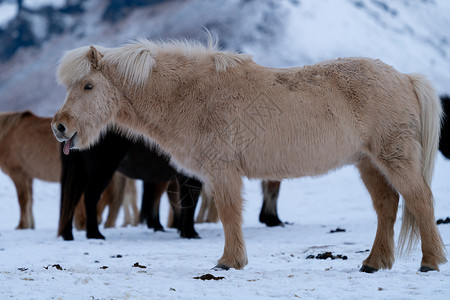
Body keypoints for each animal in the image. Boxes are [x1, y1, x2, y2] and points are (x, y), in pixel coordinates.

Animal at [0, 110, 134, 230]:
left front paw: (22, 225)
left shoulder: (18, 174)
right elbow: (30, 201)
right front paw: (30, 225)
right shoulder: (29, 176)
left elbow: (23, 201)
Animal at [58, 130, 202, 240]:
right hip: (101, 171)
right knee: (90, 197)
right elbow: (189, 202)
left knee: (71, 198)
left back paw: (68, 234)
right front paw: (189, 232)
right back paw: (94, 234)